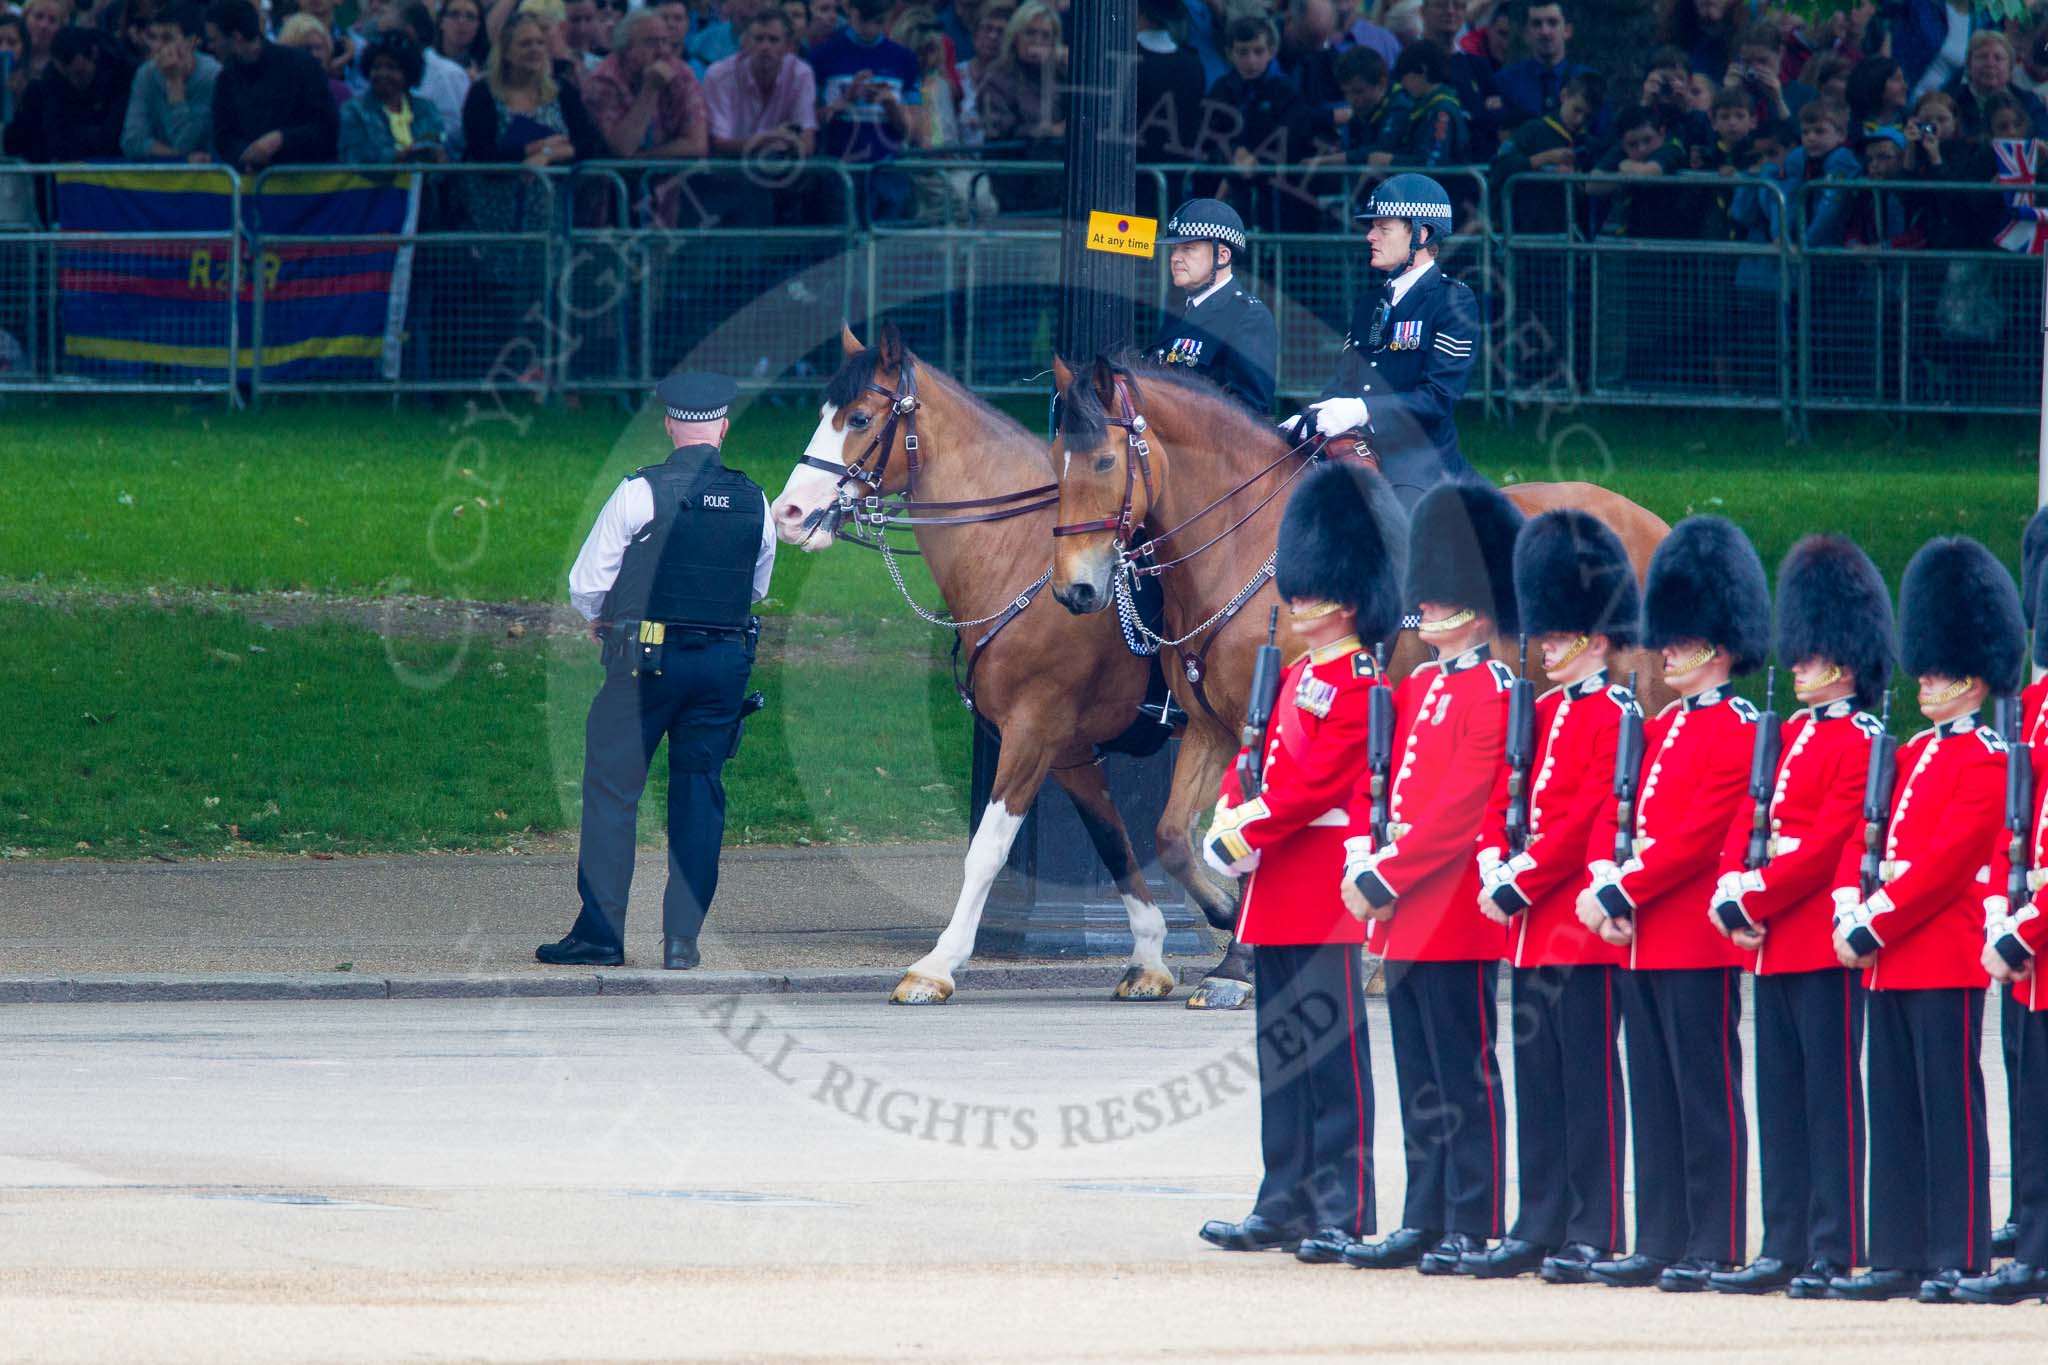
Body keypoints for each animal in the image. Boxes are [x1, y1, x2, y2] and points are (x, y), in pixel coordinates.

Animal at [768, 326, 1257, 1008]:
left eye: (860, 418)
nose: (787, 513)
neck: (1018, 552)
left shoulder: (1032, 731)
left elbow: (987, 850)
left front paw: (938, 963)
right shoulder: (1071, 752)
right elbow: (1115, 845)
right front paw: (1149, 954)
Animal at [1043, 356, 1677, 931]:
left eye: (1105, 460)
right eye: (1056, 461)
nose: (1075, 589)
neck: (1247, 543)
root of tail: (1657, 524)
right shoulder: (1210, 725)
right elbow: (1173, 835)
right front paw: (1223, 912)